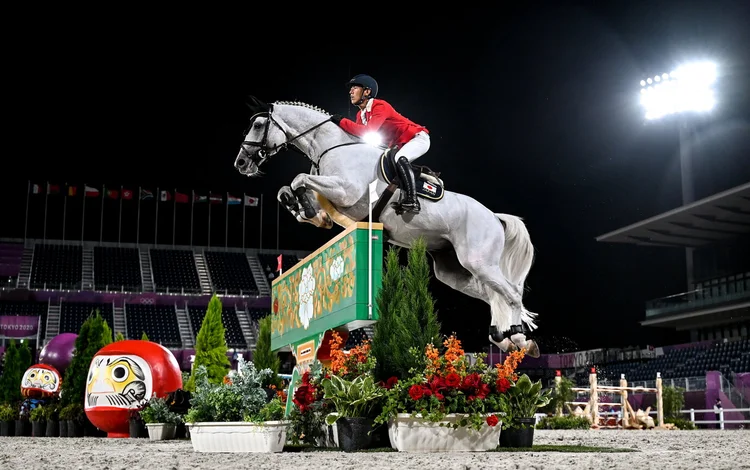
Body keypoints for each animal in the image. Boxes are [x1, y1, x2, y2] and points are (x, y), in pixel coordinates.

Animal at [235, 97, 540, 358]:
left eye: (259, 125)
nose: (241, 163)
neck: (330, 147)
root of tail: (494, 217)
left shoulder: (345, 191)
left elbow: (298, 178)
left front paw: (302, 204)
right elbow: (293, 192)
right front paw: (302, 209)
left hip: (478, 260)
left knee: (511, 294)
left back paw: (518, 337)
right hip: (452, 270)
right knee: (492, 294)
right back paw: (507, 339)